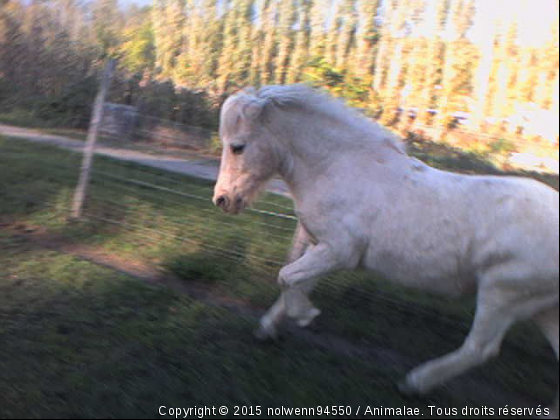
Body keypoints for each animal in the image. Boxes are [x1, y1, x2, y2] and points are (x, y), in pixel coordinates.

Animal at [212, 84, 556, 414]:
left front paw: (305, 315)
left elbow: (286, 277)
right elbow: (297, 281)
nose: (222, 200)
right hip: (542, 309)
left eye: (237, 146)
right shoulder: (319, 245)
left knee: (479, 348)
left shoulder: (340, 251)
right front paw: (269, 328)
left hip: (502, 294)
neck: (336, 167)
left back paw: (414, 383)